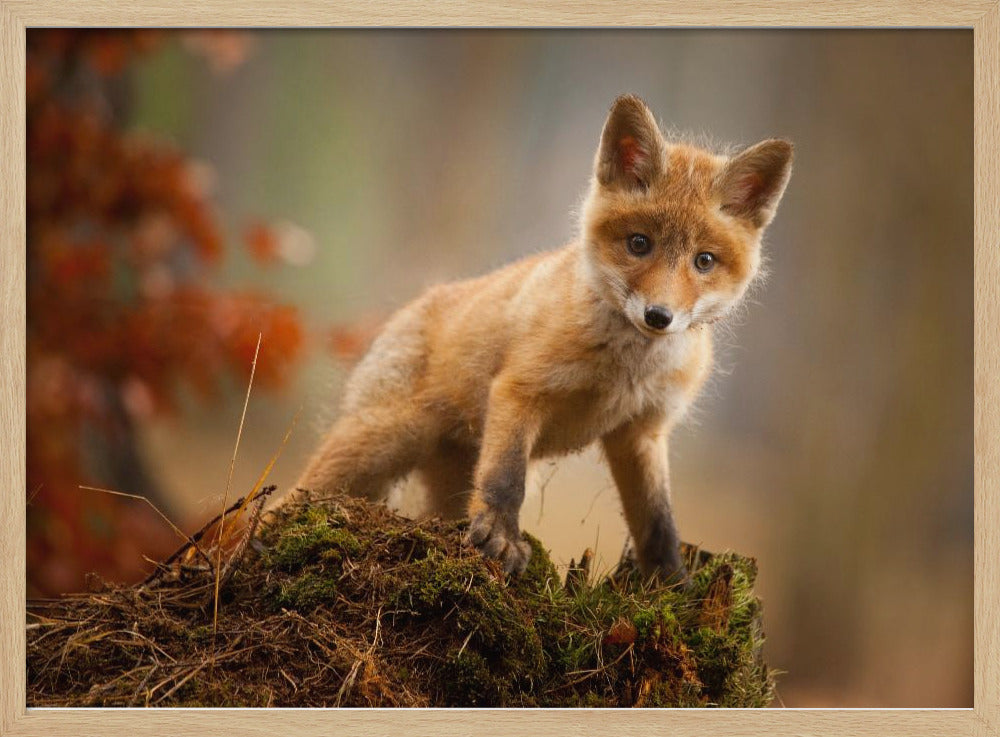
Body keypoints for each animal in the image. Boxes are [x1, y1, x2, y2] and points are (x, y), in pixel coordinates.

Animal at [278, 94, 793, 583]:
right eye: (639, 244)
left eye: (704, 261)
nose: (658, 316)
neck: (625, 370)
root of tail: (412, 306)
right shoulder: (521, 390)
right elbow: (507, 479)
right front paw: (501, 540)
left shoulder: (641, 432)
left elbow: (658, 522)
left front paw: (672, 585)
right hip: (378, 444)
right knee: (287, 500)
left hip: (443, 481)